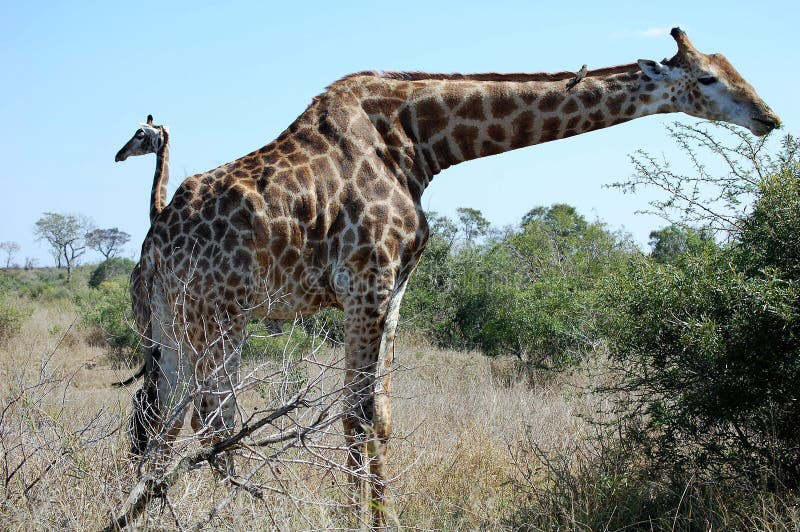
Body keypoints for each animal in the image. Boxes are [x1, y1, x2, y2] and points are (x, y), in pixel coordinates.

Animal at [128, 28, 779, 526]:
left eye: (733, 67)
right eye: (708, 78)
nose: (768, 117)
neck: (423, 141)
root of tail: (152, 246)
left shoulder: (395, 290)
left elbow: (381, 417)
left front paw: (385, 518)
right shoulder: (365, 278)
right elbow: (354, 416)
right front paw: (355, 520)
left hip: (176, 323)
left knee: (163, 422)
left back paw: (153, 512)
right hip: (219, 315)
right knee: (212, 421)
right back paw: (241, 512)